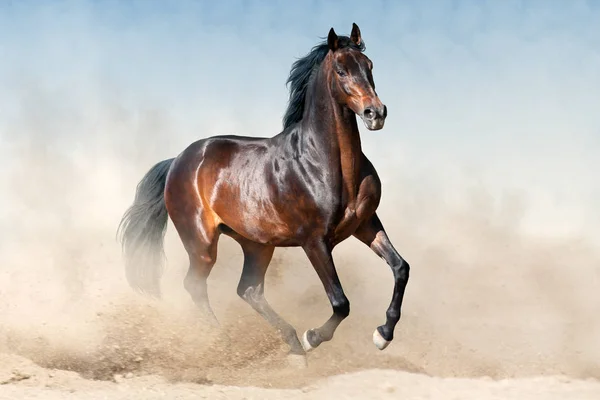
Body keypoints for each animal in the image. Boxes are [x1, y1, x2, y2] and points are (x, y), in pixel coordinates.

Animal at [117, 22, 408, 362]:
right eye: (341, 70)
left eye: (369, 66)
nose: (376, 113)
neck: (324, 163)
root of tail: (178, 160)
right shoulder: (314, 241)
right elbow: (340, 302)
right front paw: (313, 337)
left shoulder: (365, 224)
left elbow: (400, 268)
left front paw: (382, 335)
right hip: (202, 243)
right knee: (196, 285)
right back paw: (224, 343)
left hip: (257, 244)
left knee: (249, 290)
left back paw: (292, 348)